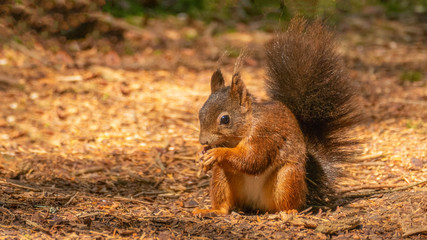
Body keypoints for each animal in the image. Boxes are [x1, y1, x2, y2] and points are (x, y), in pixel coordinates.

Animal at [195, 17, 362, 215]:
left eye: (225, 119)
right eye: (200, 112)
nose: (203, 141)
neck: (246, 127)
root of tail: (255, 204)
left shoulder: (265, 134)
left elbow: (252, 159)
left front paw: (217, 153)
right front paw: (203, 155)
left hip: (287, 177)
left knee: (290, 202)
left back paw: (287, 213)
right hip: (222, 177)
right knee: (224, 202)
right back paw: (212, 210)